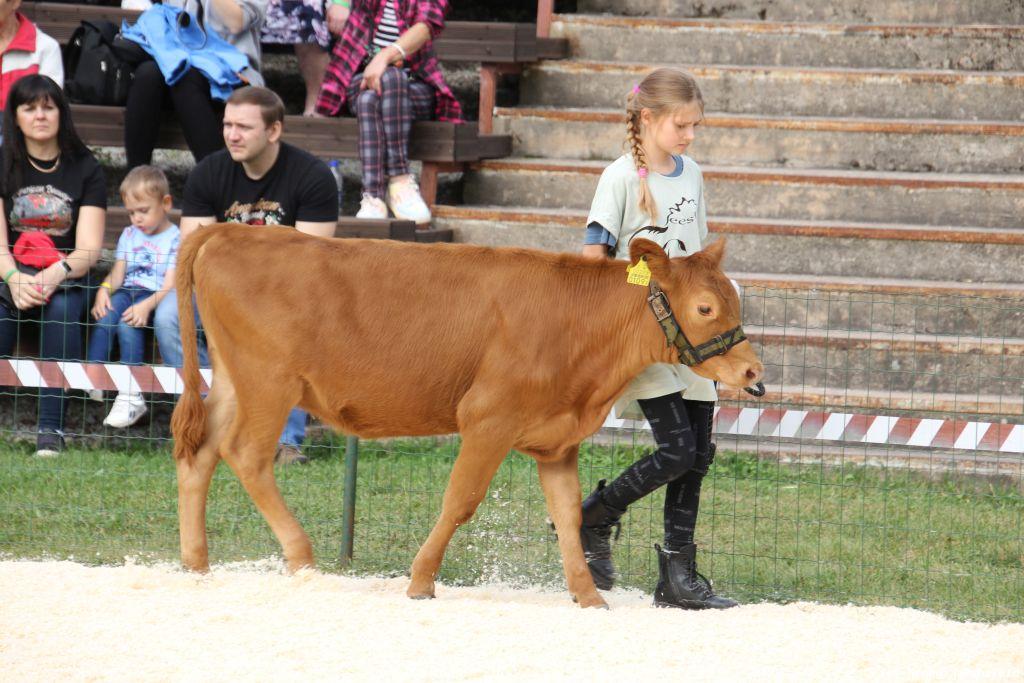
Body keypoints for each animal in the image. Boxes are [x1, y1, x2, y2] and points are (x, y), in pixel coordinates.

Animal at [171, 223, 763, 609]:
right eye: (706, 308)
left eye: (733, 300)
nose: (754, 372)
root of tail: (230, 230)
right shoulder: (487, 418)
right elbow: (461, 501)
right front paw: (420, 581)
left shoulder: (559, 439)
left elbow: (568, 514)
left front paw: (587, 595)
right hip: (268, 382)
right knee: (246, 454)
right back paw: (300, 557)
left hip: (232, 382)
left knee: (200, 454)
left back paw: (197, 565)